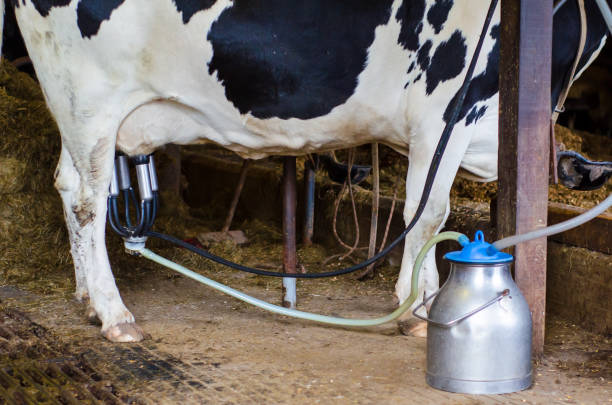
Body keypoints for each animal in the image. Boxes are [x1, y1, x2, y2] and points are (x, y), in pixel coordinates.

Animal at [1, 0, 608, 340]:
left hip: (77, 110)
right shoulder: (448, 107)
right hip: (88, 96)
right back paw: (113, 314)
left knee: (68, 184)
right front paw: (416, 306)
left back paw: (86, 297)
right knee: (86, 197)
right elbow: (428, 212)